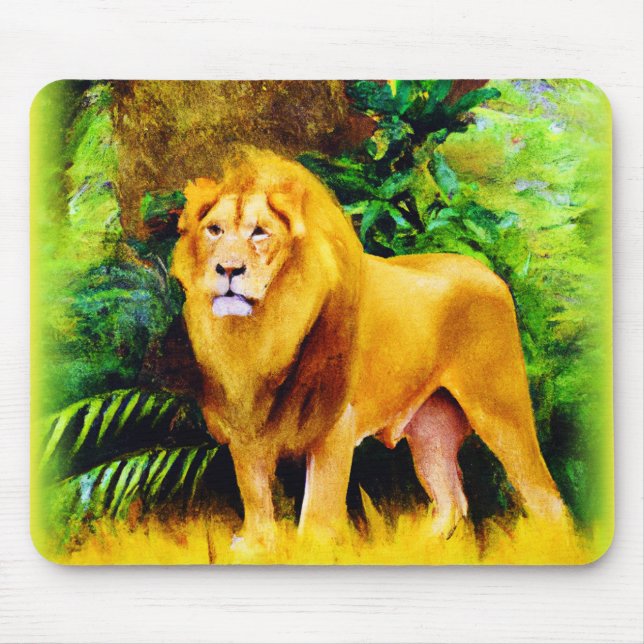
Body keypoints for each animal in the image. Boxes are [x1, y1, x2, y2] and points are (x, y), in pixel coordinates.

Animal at [171, 148, 567, 548]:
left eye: (260, 232)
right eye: (214, 230)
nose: (227, 269)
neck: (262, 331)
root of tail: (487, 271)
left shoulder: (334, 423)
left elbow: (319, 506)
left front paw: (312, 549)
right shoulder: (245, 421)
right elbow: (254, 493)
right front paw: (255, 546)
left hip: (500, 409)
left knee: (546, 495)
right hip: (431, 428)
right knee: (451, 500)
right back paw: (418, 548)